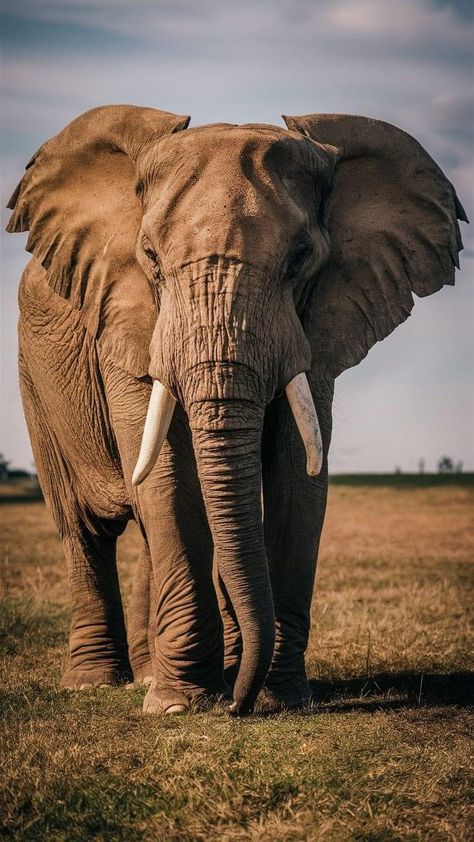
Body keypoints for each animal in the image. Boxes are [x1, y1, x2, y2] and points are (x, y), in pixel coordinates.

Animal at [7, 103, 466, 708]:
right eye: (149, 258)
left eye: (300, 260)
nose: (238, 706)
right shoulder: (125, 314)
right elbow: (167, 475)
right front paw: (179, 706)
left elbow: (298, 472)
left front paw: (281, 700)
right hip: (35, 377)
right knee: (84, 527)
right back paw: (95, 683)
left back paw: (156, 673)